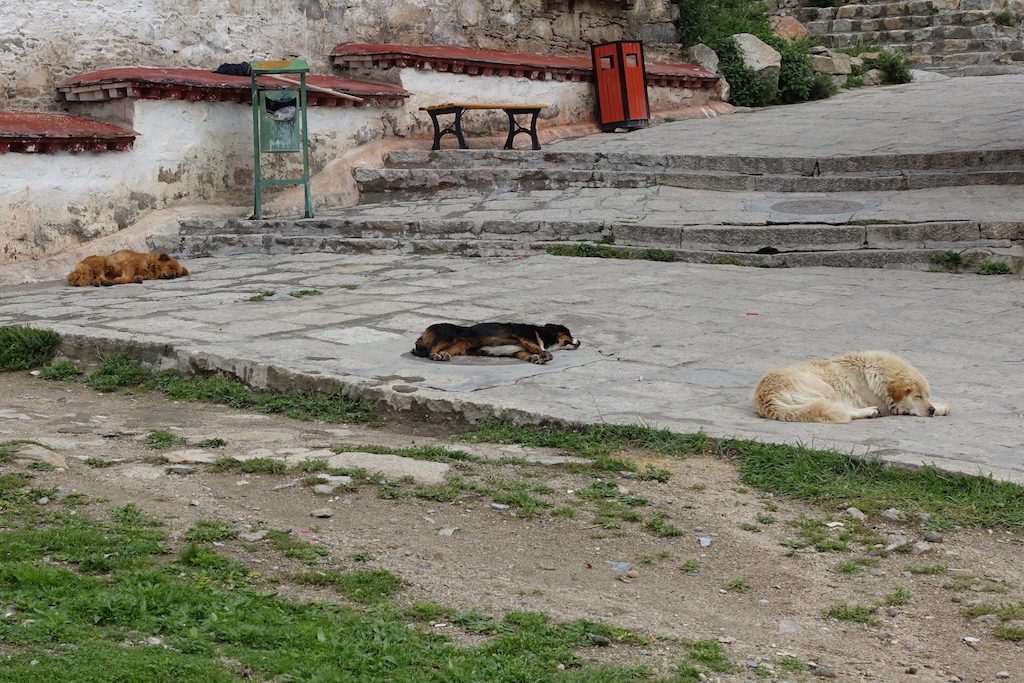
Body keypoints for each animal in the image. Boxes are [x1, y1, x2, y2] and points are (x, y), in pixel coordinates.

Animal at [411, 323, 581, 366]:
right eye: (569, 334)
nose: (579, 342)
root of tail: (423, 333)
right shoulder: (524, 336)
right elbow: (537, 347)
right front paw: (545, 355)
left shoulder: (518, 351)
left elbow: (528, 353)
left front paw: (536, 358)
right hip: (449, 336)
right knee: (431, 349)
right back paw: (435, 355)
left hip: (459, 346)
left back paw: (444, 355)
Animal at [753, 352, 950, 421]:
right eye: (917, 397)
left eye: (926, 395)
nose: (931, 410)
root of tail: (765, 398)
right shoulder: (891, 407)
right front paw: (939, 409)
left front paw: (939, 406)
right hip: (827, 390)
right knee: (843, 411)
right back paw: (870, 412)